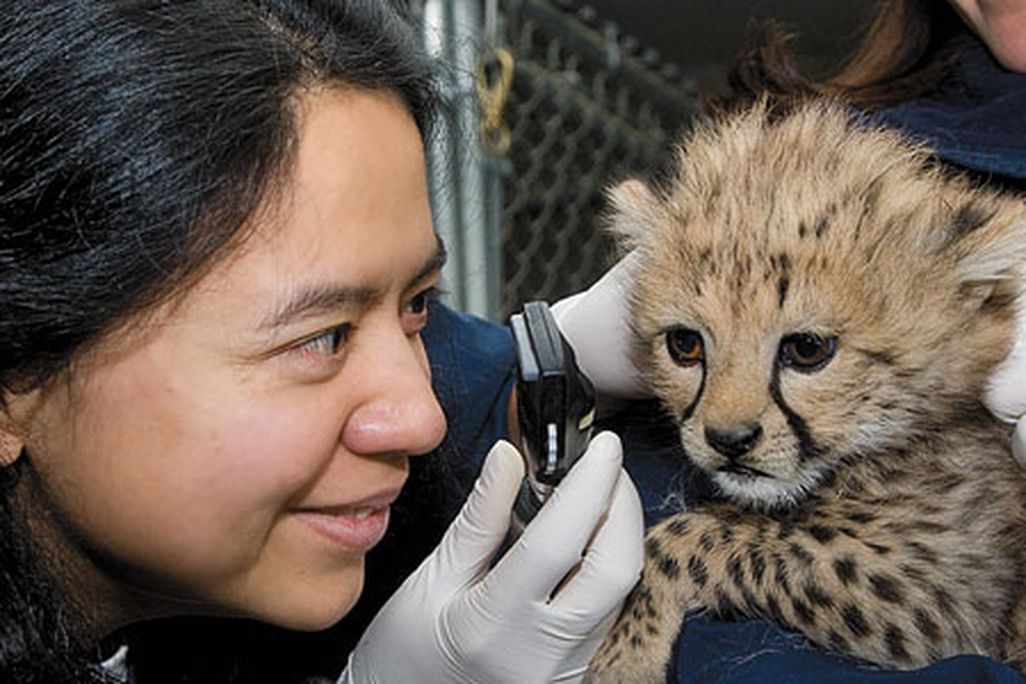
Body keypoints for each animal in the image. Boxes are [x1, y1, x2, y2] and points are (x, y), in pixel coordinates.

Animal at [586, 99, 1026, 683]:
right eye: (685, 344)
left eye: (808, 349)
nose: (729, 440)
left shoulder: (937, 596)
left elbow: (691, 534)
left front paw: (623, 656)